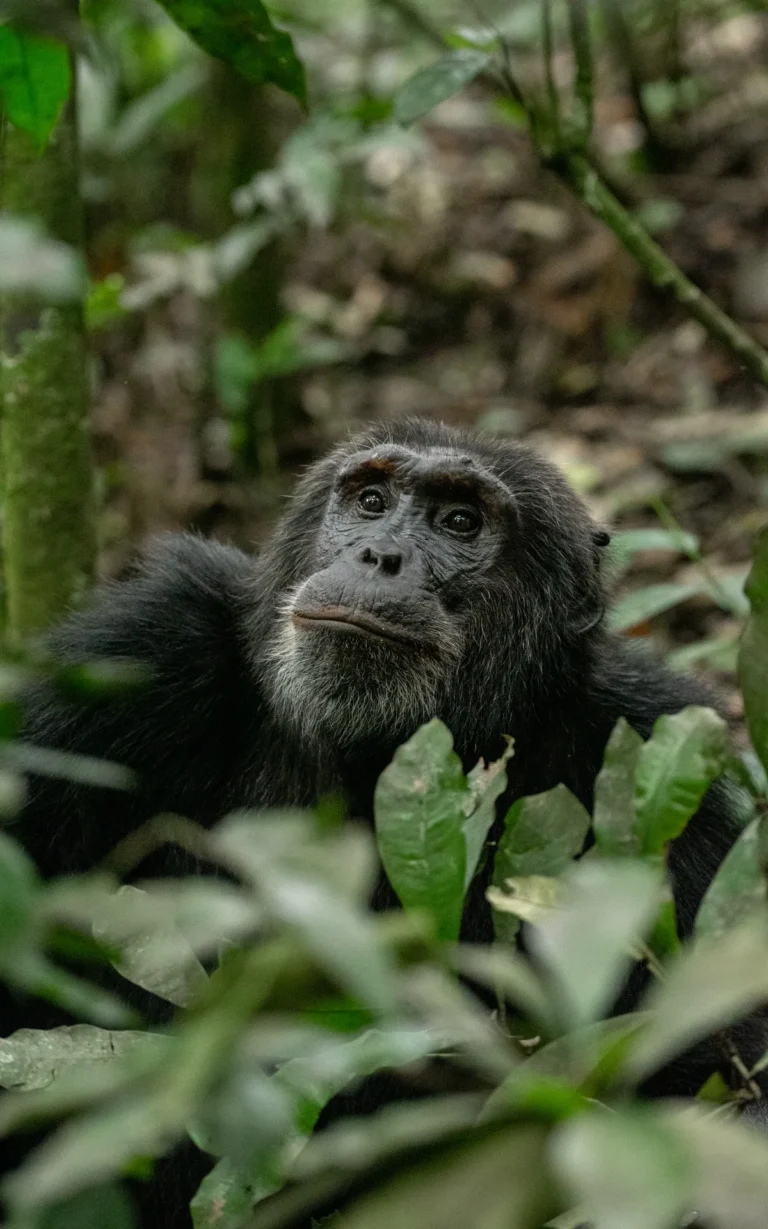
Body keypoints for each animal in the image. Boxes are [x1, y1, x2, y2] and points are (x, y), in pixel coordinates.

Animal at [4, 417, 766, 1226]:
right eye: (370, 500)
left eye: (460, 521)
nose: (380, 555)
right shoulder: (138, 652)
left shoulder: (656, 758)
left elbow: (721, 1067)